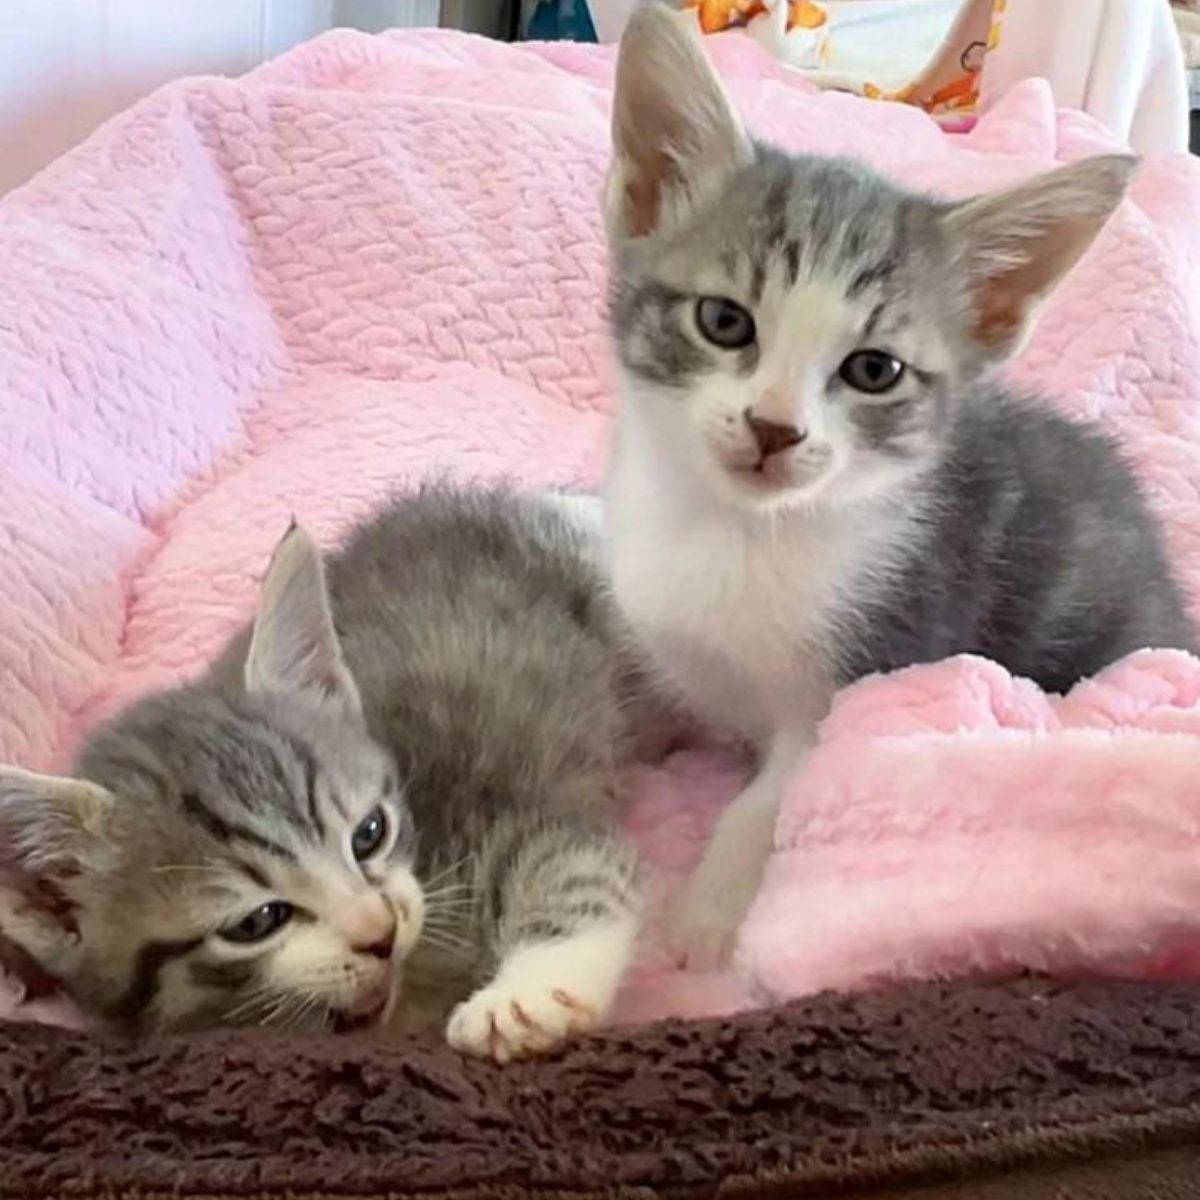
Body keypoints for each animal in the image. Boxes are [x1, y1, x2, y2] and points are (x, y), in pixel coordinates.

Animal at [0, 482, 643, 1065]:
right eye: (259, 921)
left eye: (369, 834)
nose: (382, 930)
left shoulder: (501, 814)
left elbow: (578, 868)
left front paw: (521, 998)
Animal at [604, 7, 1195, 964]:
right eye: (724, 321)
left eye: (873, 370)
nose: (774, 428)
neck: (739, 531)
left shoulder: (879, 663)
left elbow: (775, 800)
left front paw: (707, 918)